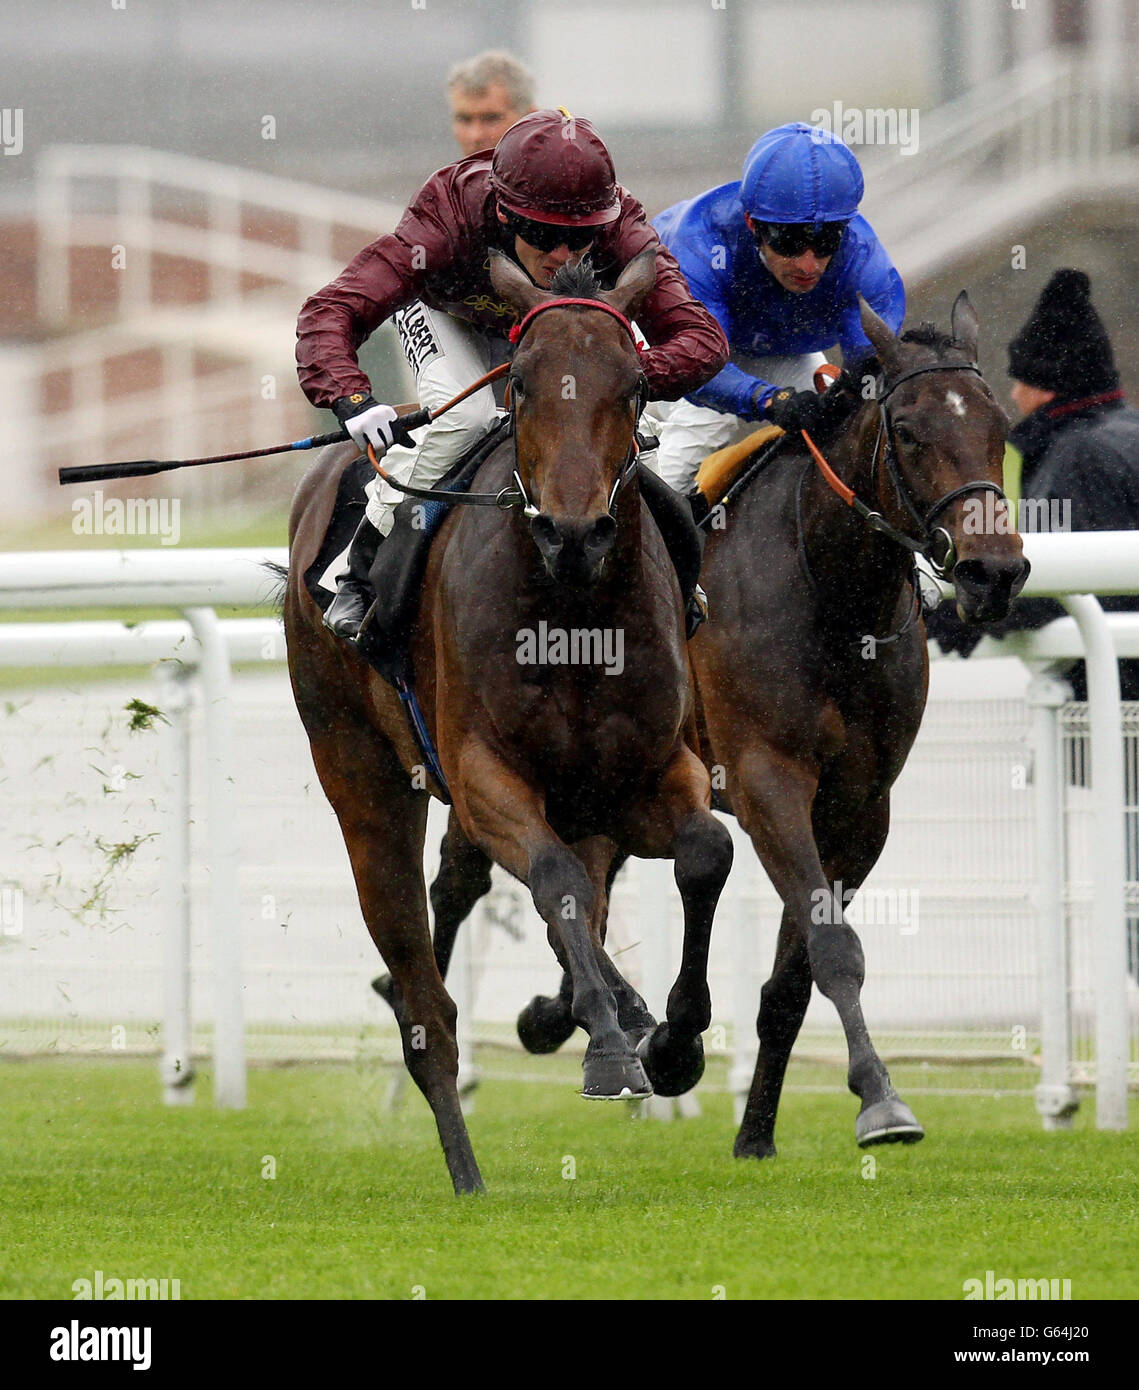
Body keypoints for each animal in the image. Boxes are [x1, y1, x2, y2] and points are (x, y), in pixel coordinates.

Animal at [280, 250, 734, 1195]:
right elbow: (555, 881)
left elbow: (703, 852)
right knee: (427, 1003)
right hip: (363, 778)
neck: (570, 609)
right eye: (521, 384)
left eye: (637, 386)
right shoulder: (486, 775)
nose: (573, 533)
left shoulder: (644, 775)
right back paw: (467, 1168)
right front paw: (612, 1048)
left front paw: (669, 1042)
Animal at [403, 296, 1034, 1162]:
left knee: (581, 887)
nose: (993, 571)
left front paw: (757, 1130)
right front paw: (880, 1099)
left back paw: (583, 1017)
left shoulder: (859, 806)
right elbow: (831, 946)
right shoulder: (766, 778)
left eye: (998, 426)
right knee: (464, 881)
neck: (830, 591)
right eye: (906, 430)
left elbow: (793, 976)